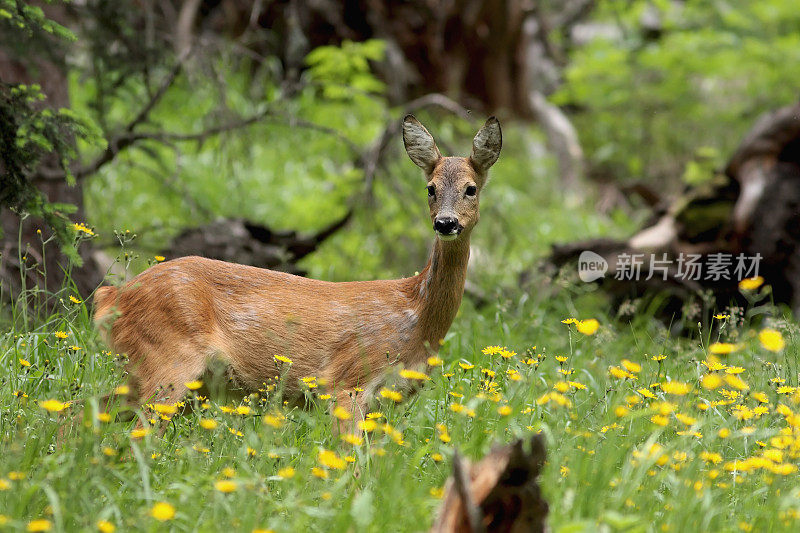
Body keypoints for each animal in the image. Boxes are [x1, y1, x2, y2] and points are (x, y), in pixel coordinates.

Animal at [92, 115, 500, 424]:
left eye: (471, 188)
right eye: (430, 188)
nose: (445, 223)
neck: (415, 312)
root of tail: (112, 296)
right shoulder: (346, 380)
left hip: (158, 375)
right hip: (168, 359)